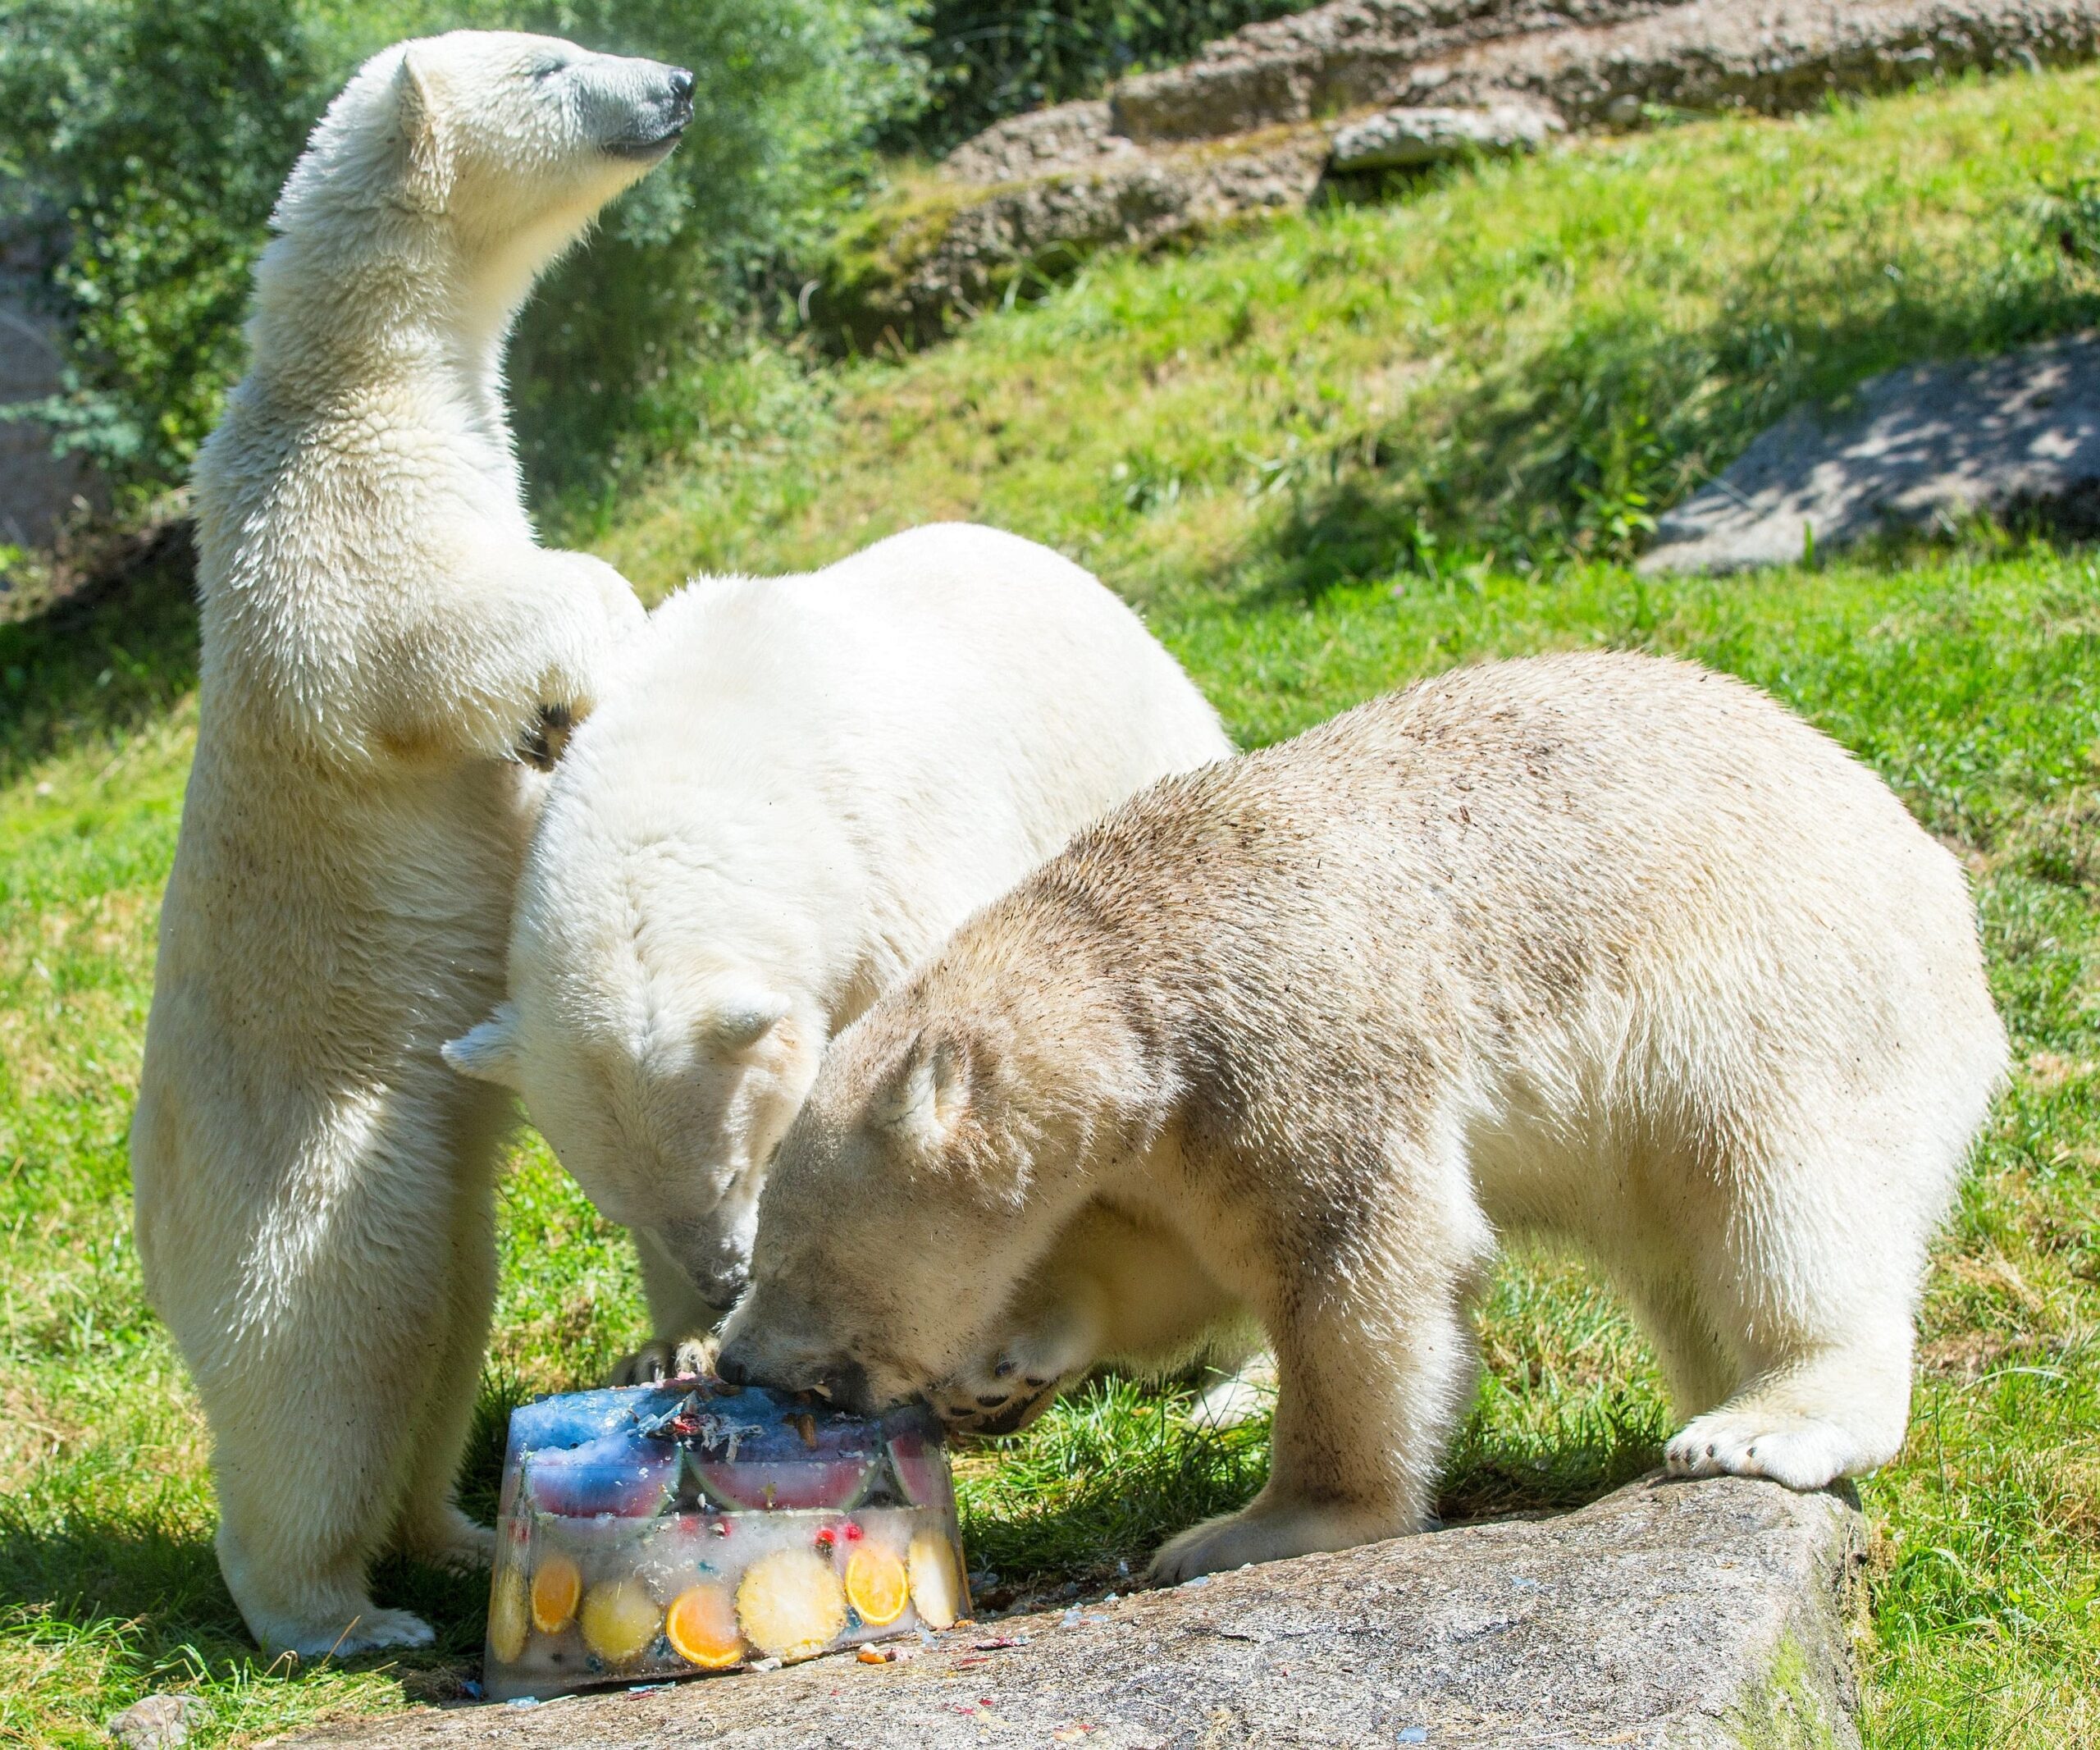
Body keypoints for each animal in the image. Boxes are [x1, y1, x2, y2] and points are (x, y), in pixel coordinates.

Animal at [129, 37, 688, 1655]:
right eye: (554, 60)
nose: (680, 83)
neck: (359, 365)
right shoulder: (326, 500)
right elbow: (405, 646)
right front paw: (594, 647)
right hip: (309, 1148)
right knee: (339, 1333)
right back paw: (337, 1610)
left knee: (451, 1298)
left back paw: (448, 1529)